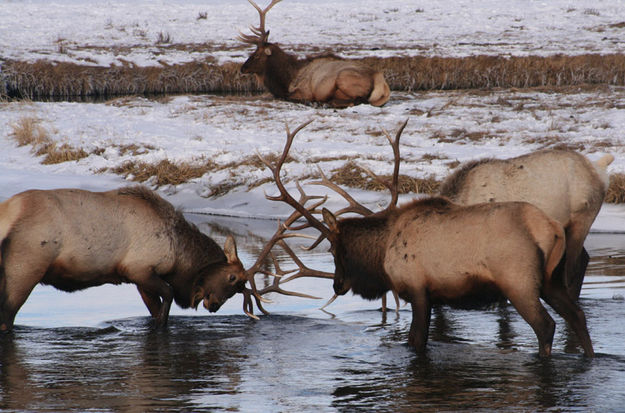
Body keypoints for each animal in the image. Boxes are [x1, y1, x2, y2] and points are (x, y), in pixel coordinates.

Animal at [236, 0, 388, 108]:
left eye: (256, 54)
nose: (242, 68)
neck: (286, 80)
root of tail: (380, 80)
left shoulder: (303, 91)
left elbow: (289, 97)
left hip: (344, 78)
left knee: (359, 100)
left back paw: (324, 103)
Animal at [262, 120, 596, 356]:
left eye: (335, 249)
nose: (337, 284)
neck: (382, 253)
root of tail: (550, 229)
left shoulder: (418, 288)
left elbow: (416, 341)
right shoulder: (433, 296)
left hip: (519, 281)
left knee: (546, 326)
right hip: (550, 280)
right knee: (578, 316)